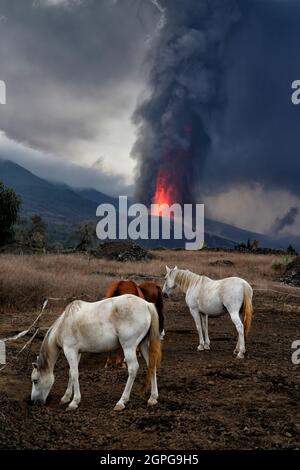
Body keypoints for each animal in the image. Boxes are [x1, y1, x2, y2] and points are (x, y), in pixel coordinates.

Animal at [30, 294, 162, 412]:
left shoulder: (70, 350)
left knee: (133, 369)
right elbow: (71, 373)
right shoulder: (77, 352)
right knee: (152, 365)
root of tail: (147, 305)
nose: (34, 401)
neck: (63, 324)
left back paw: (121, 401)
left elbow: (74, 374)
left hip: (128, 346)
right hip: (143, 345)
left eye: (35, 380)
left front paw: (74, 402)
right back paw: (153, 398)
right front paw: (66, 397)